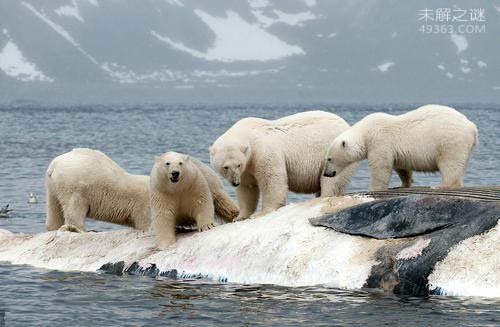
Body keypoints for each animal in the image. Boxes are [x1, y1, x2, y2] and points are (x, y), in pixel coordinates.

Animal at [209, 110, 358, 220]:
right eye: (225, 167)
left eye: (238, 165)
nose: (235, 182)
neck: (248, 134)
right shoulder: (247, 167)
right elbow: (248, 187)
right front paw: (240, 216)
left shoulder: (263, 151)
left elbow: (271, 179)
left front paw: (262, 212)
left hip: (336, 154)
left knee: (332, 181)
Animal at [322, 105, 478, 191]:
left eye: (329, 159)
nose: (327, 174)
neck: (365, 132)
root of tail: (472, 127)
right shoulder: (395, 150)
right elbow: (402, 168)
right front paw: (403, 184)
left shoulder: (379, 141)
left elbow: (380, 167)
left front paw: (373, 188)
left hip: (449, 140)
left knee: (450, 163)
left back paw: (441, 186)